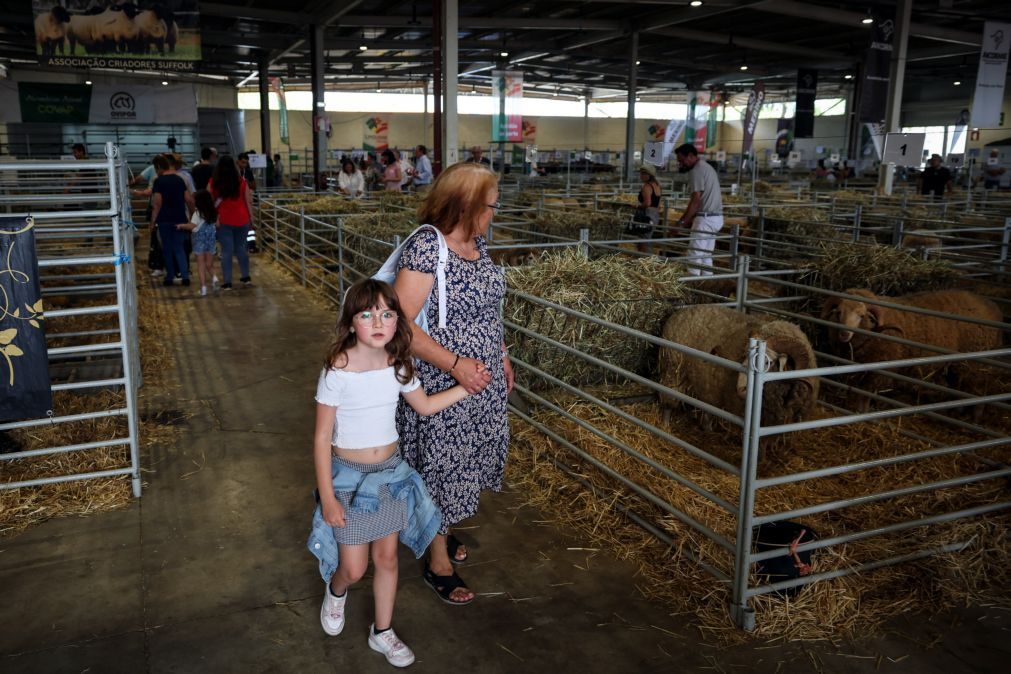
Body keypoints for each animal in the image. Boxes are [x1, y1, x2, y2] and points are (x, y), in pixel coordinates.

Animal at [655, 303, 820, 430]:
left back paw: (707, 428)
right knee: (669, 399)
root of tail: (679, 312)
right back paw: (665, 425)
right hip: (672, 370)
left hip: (706, 386)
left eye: (768, 362)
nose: (741, 390)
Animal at [820, 286, 1002, 404]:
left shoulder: (879, 373)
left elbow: (862, 398)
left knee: (978, 391)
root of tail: (991, 306)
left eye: (861, 315)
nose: (844, 334)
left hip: (974, 366)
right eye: (838, 312)